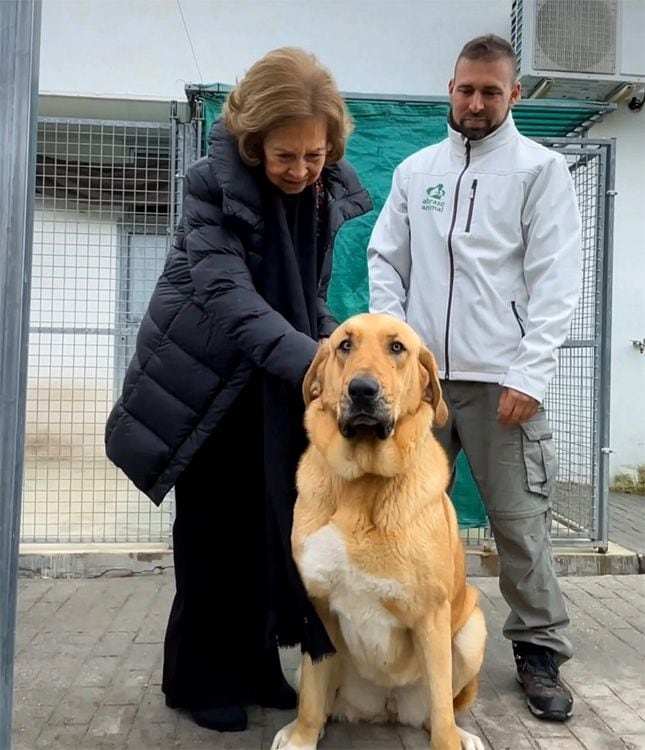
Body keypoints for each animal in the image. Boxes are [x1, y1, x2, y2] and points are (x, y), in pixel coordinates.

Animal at [272, 314, 488, 750]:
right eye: (344, 345)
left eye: (397, 348)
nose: (362, 390)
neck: (364, 484)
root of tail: (386, 707)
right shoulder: (317, 611)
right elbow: (312, 694)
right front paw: (303, 735)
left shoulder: (432, 615)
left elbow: (442, 709)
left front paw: (449, 740)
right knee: (320, 697)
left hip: (472, 630)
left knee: (441, 710)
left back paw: (461, 735)